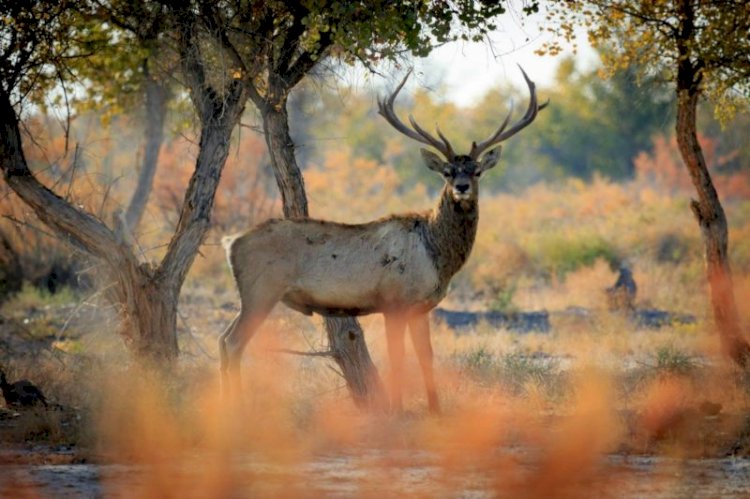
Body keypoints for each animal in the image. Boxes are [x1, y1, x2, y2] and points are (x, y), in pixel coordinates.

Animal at [219, 67, 548, 414]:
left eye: (477, 171)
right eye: (447, 171)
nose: (461, 187)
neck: (436, 256)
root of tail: (230, 242)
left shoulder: (420, 308)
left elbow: (426, 357)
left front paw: (435, 409)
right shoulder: (394, 302)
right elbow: (397, 358)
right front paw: (397, 409)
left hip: (253, 294)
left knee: (223, 339)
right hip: (263, 289)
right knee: (234, 342)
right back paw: (235, 407)